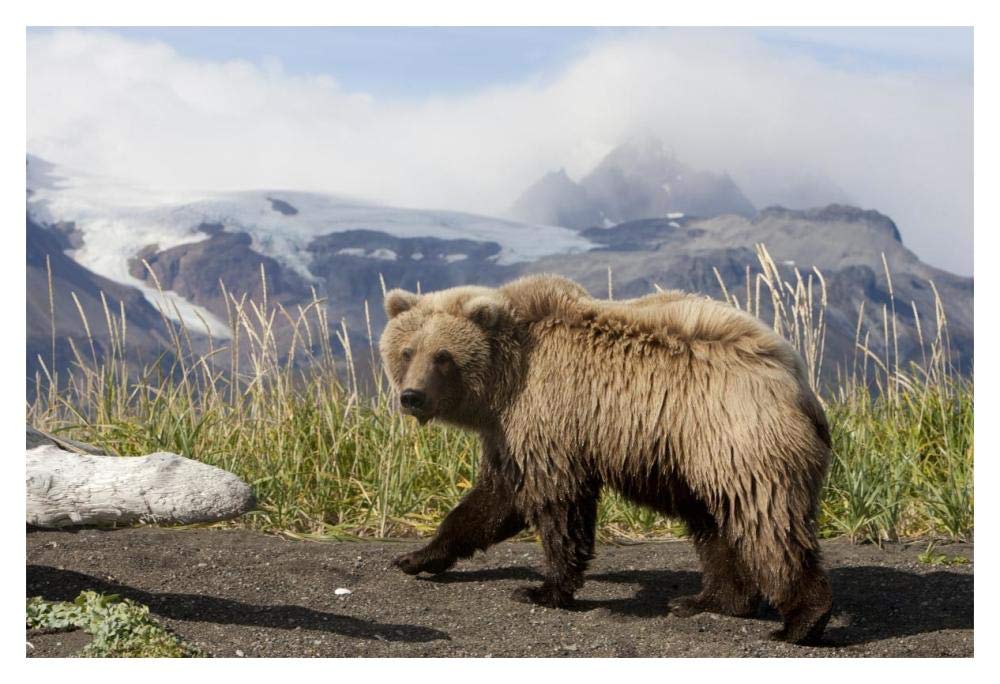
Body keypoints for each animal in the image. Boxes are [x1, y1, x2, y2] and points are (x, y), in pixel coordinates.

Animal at [378, 274, 833, 644]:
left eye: (443, 356)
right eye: (407, 350)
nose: (412, 396)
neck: (503, 382)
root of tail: (796, 377)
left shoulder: (548, 415)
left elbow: (556, 503)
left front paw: (542, 590)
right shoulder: (508, 432)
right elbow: (491, 502)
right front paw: (415, 557)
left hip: (735, 437)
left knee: (768, 521)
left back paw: (802, 621)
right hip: (698, 457)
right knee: (714, 524)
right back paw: (709, 600)